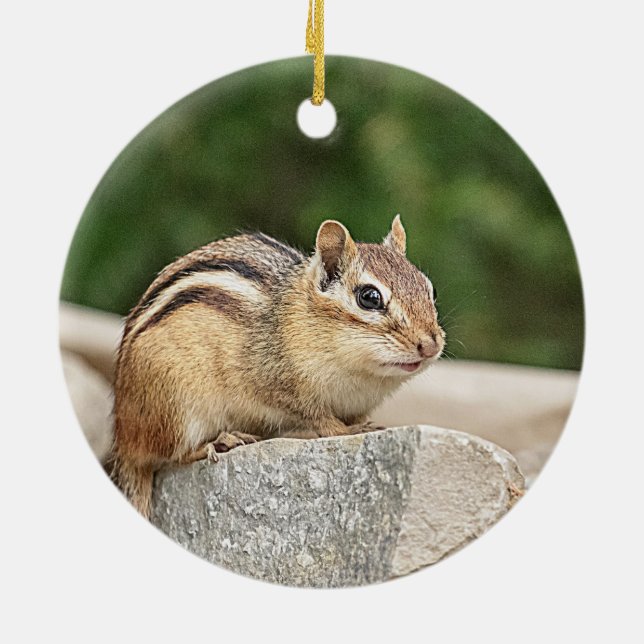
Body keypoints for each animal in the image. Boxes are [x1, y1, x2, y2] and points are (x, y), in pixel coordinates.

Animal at [111, 216, 445, 517]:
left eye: (430, 290)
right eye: (370, 297)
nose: (430, 345)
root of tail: (123, 436)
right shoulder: (278, 384)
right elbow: (320, 420)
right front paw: (350, 429)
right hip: (177, 408)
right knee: (170, 455)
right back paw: (219, 442)